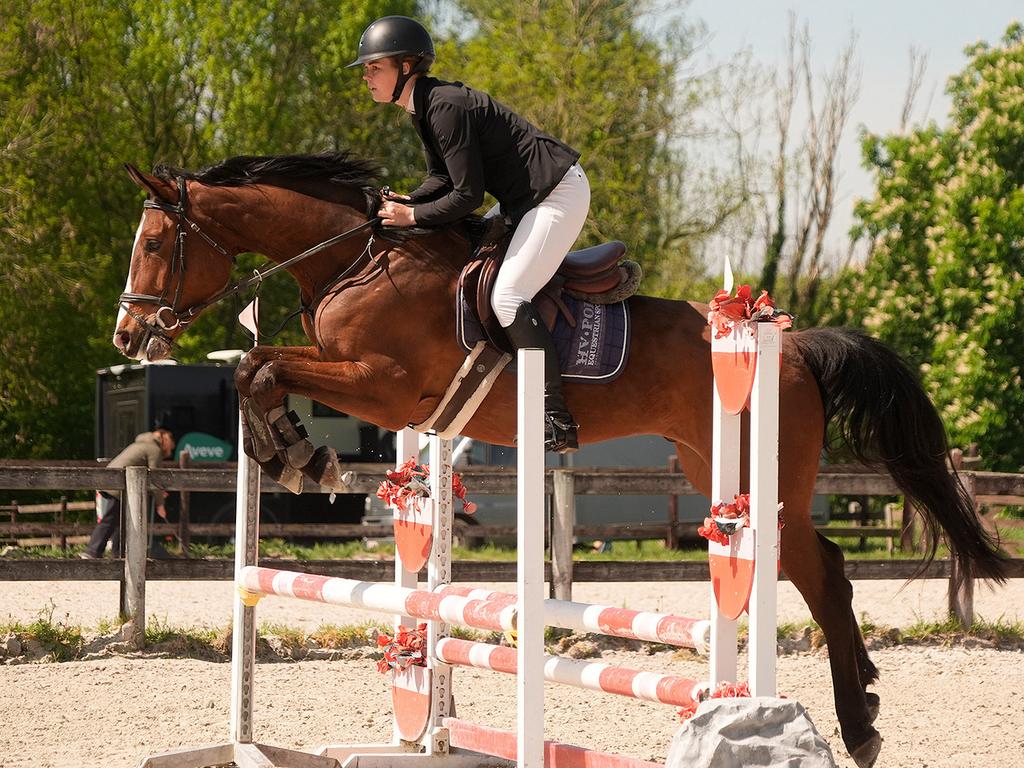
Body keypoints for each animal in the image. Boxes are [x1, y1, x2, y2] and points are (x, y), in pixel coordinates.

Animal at [114, 152, 1006, 768]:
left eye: (155, 241)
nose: (129, 335)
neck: (356, 259)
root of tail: (795, 343)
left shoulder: (386, 388)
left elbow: (258, 368)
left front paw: (300, 456)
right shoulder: (378, 390)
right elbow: (252, 368)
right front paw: (294, 454)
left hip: (763, 481)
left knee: (819, 572)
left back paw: (857, 726)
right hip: (707, 465)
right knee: (823, 567)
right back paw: (866, 712)